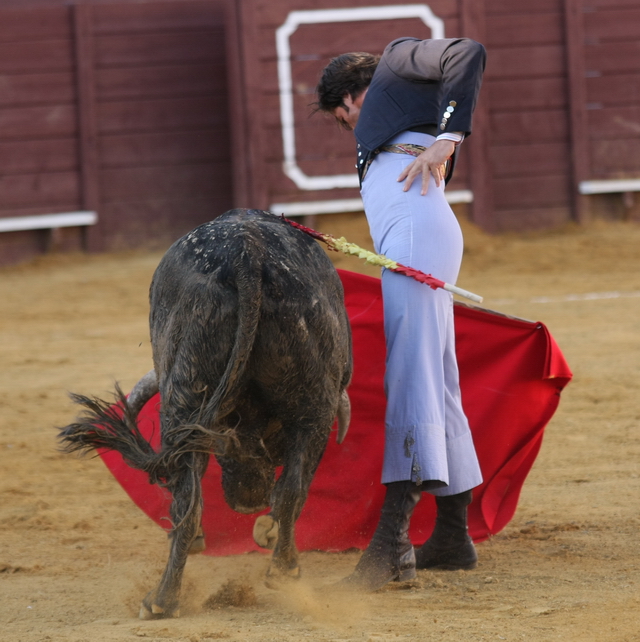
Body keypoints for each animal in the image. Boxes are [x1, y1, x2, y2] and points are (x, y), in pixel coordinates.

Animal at [58, 208, 352, 616]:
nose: (247, 502)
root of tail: (249, 254)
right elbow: (294, 490)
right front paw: (268, 532)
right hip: (308, 406)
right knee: (283, 491)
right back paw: (272, 572)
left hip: (193, 401)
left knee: (197, 499)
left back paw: (165, 598)